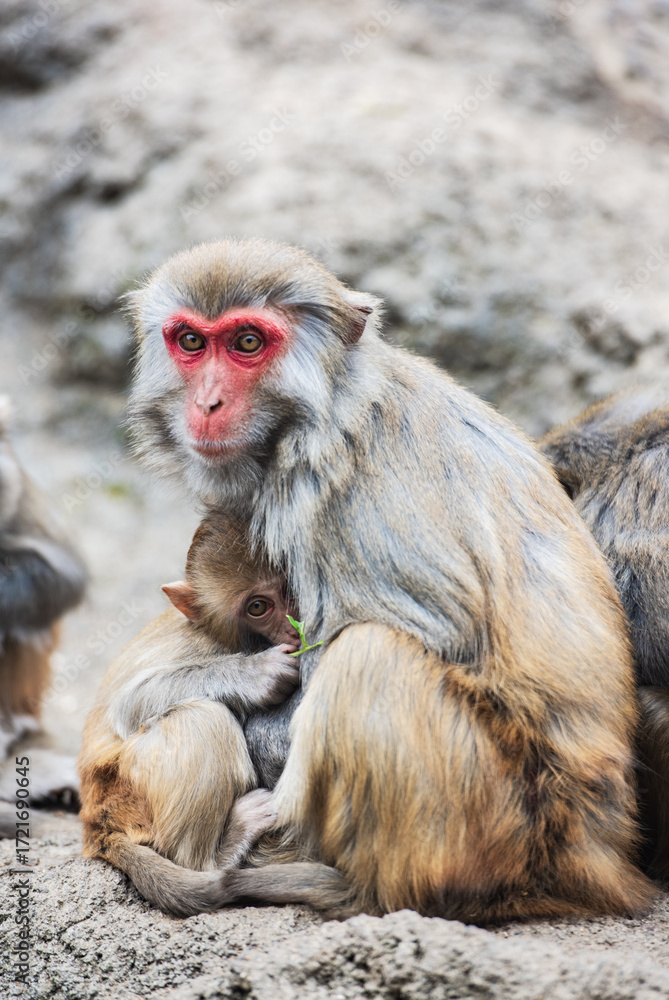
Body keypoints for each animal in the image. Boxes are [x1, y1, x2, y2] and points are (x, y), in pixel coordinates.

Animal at [77, 514, 301, 912]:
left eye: (290, 586)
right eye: (258, 607)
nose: (294, 624)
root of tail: (95, 824)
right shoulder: (198, 646)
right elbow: (131, 703)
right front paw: (257, 675)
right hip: (124, 790)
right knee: (202, 718)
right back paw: (219, 854)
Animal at [117, 237, 656, 923]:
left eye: (247, 342)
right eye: (190, 341)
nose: (207, 403)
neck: (326, 410)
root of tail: (597, 859)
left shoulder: (330, 497)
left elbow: (415, 638)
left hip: (494, 820)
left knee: (368, 654)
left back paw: (360, 891)